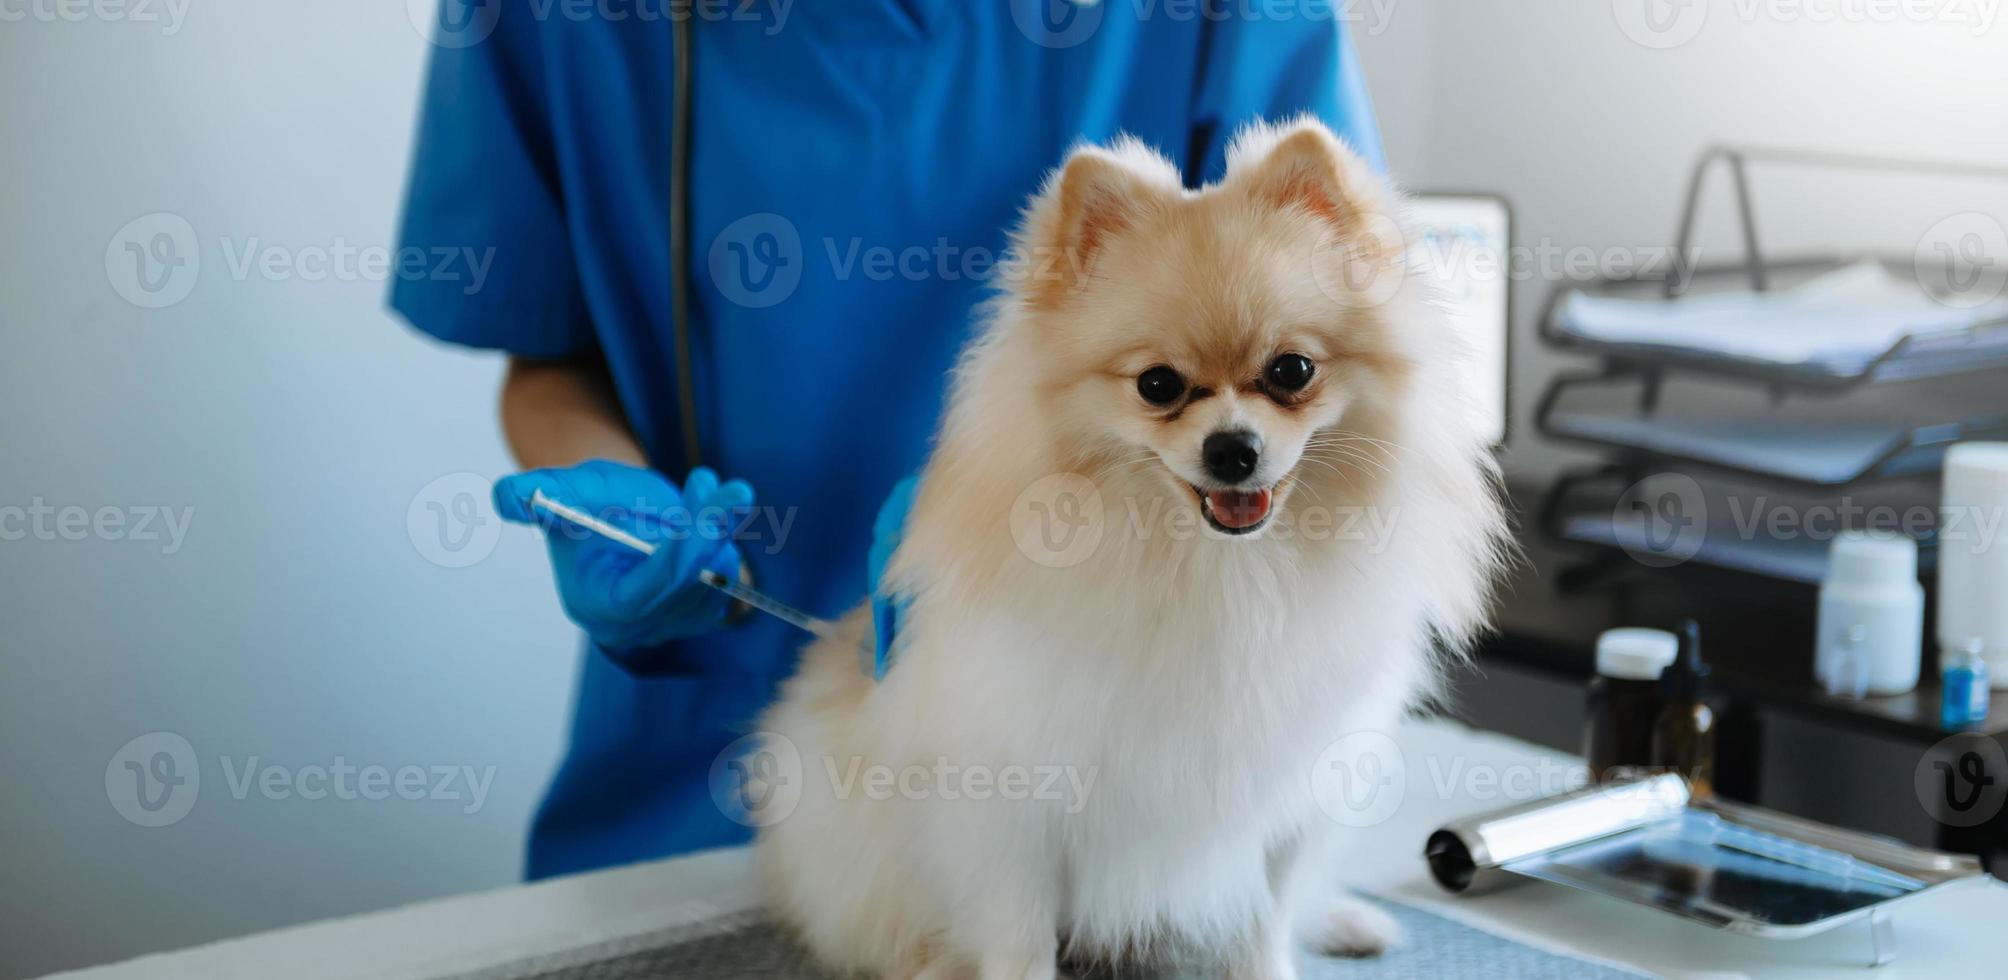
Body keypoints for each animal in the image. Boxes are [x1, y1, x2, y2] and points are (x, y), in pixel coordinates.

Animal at [755, 116, 1510, 980]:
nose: (1233, 449)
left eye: (1291, 370)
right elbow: (1017, 943)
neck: (1217, 571)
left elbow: (1269, 919)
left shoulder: (1285, 798)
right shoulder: (1011, 807)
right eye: (1158, 385)